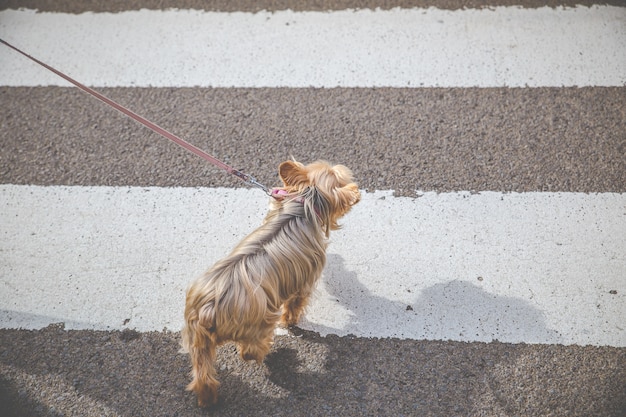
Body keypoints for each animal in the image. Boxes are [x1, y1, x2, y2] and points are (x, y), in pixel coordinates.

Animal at [180, 158, 358, 404]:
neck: (305, 201)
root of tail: (208, 308)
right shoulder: (304, 283)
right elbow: (294, 306)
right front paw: (290, 322)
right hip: (257, 324)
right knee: (249, 352)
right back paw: (279, 353)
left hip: (197, 337)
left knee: (203, 372)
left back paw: (208, 399)